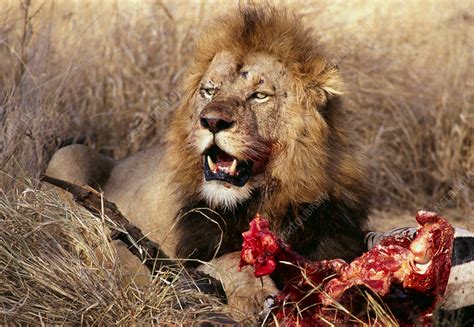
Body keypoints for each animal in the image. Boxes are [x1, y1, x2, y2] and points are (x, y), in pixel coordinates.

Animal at [45, 4, 370, 318]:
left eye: (259, 95)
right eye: (209, 91)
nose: (212, 121)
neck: (266, 201)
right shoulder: (190, 257)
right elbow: (231, 259)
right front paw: (255, 296)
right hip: (68, 154)